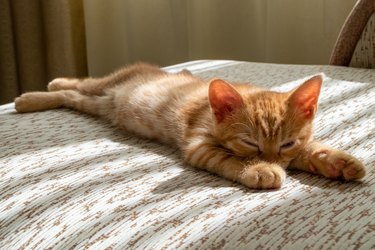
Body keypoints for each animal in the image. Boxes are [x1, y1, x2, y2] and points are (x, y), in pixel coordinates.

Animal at [15, 63, 368, 189]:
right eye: (251, 144)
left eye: (287, 143)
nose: (273, 160)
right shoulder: (198, 145)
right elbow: (229, 158)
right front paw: (260, 169)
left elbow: (312, 150)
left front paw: (340, 162)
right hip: (109, 84)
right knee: (79, 83)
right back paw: (36, 93)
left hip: (99, 104)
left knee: (71, 96)